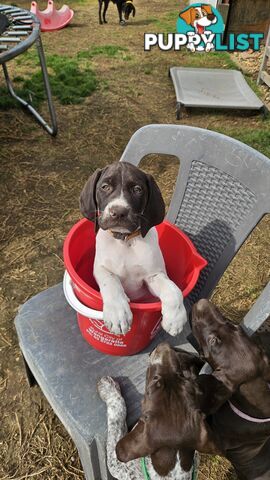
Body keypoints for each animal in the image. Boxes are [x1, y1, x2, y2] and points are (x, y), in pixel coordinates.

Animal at [79, 163, 187, 336]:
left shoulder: (153, 276)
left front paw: (175, 318)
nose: (118, 212)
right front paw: (118, 314)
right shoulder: (100, 268)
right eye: (105, 187)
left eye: (137, 189)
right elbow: (111, 282)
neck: (125, 241)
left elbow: (173, 290)